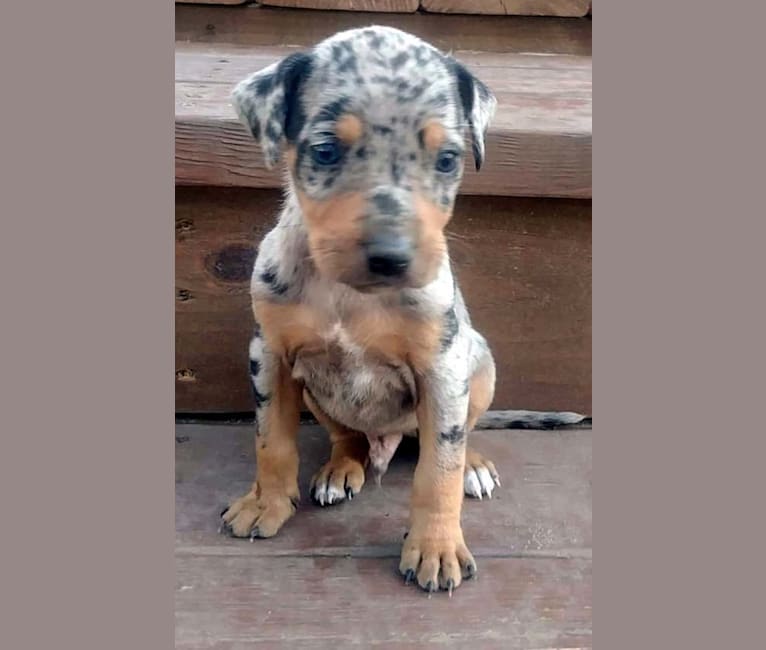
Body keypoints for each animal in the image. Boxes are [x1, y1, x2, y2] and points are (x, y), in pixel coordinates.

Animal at [219, 25, 500, 592]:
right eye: (325, 151)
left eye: (447, 159)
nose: (391, 257)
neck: (349, 295)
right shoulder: (269, 355)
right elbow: (270, 439)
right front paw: (265, 504)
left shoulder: (441, 367)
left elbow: (439, 467)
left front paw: (435, 547)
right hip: (318, 395)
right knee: (347, 435)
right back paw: (340, 469)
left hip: (479, 365)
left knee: (463, 434)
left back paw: (475, 464)